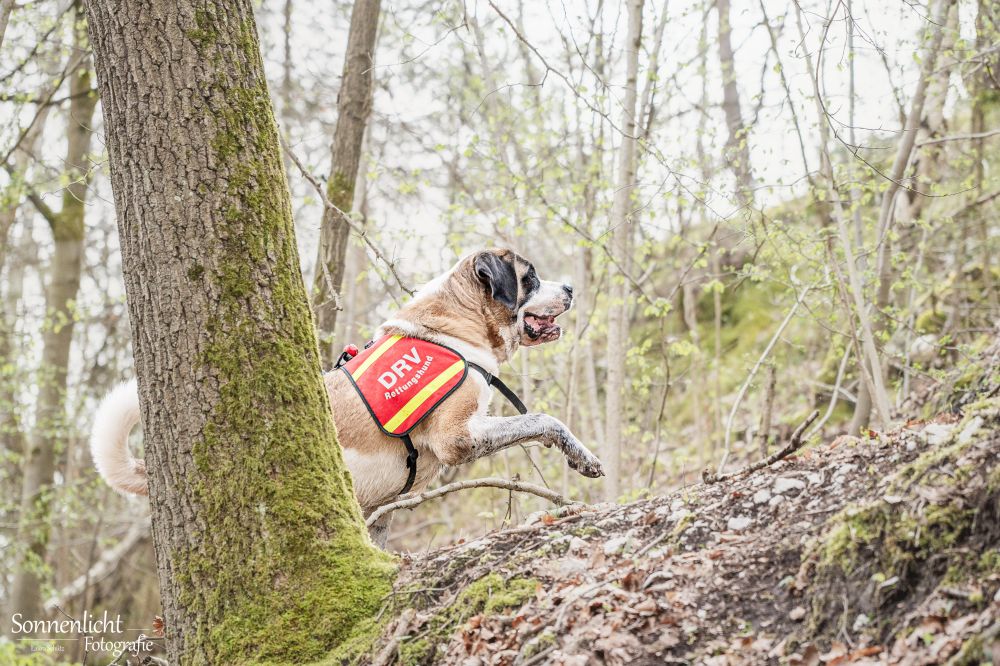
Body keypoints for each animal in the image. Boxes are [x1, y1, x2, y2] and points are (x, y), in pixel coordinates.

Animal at [92, 246, 600, 544]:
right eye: (531, 278)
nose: (571, 287)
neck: (453, 328)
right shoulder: (458, 437)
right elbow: (541, 419)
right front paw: (583, 457)